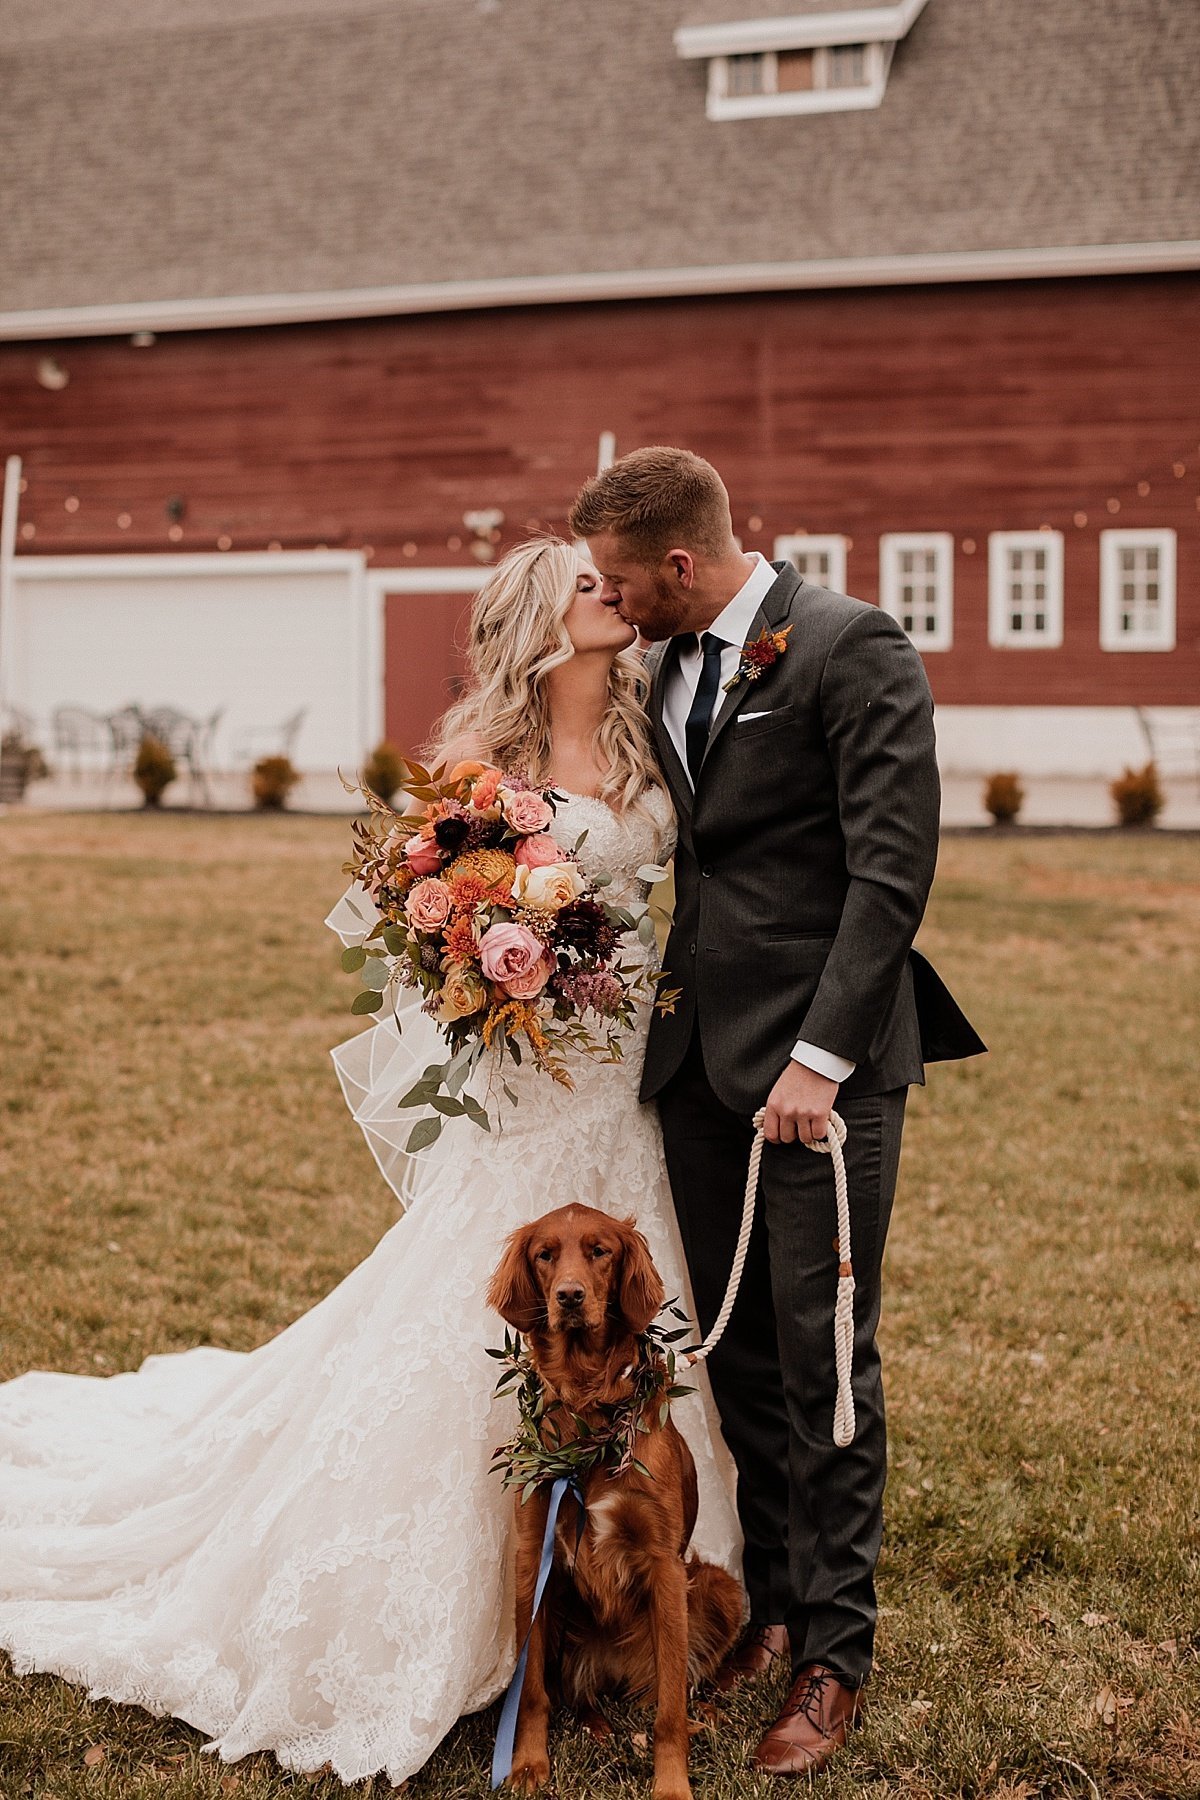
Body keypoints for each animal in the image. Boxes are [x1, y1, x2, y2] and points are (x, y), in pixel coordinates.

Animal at [489, 1202, 741, 1800]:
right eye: (545, 1255)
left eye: (600, 1251)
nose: (569, 1297)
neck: (590, 1413)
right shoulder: (533, 1557)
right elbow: (531, 1690)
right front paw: (528, 1765)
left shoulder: (664, 1564)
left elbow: (669, 1709)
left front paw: (671, 1785)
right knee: (577, 1694)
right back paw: (596, 1724)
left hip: (715, 1585)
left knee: (677, 1688)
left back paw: (702, 1717)